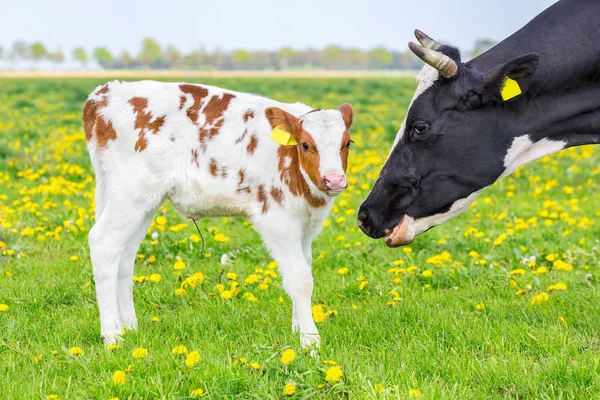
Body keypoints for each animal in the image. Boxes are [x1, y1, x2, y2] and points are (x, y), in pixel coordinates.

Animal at [82, 80, 354, 346]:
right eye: (305, 145)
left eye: (347, 144)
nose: (334, 179)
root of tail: (106, 92)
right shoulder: (277, 220)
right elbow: (301, 279)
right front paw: (310, 341)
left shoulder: (305, 226)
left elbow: (303, 268)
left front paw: (298, 330)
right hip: (129, 193)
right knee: (104, 243)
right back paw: (113, 336)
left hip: (143, 201)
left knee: (125, 256)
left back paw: (130, 327)